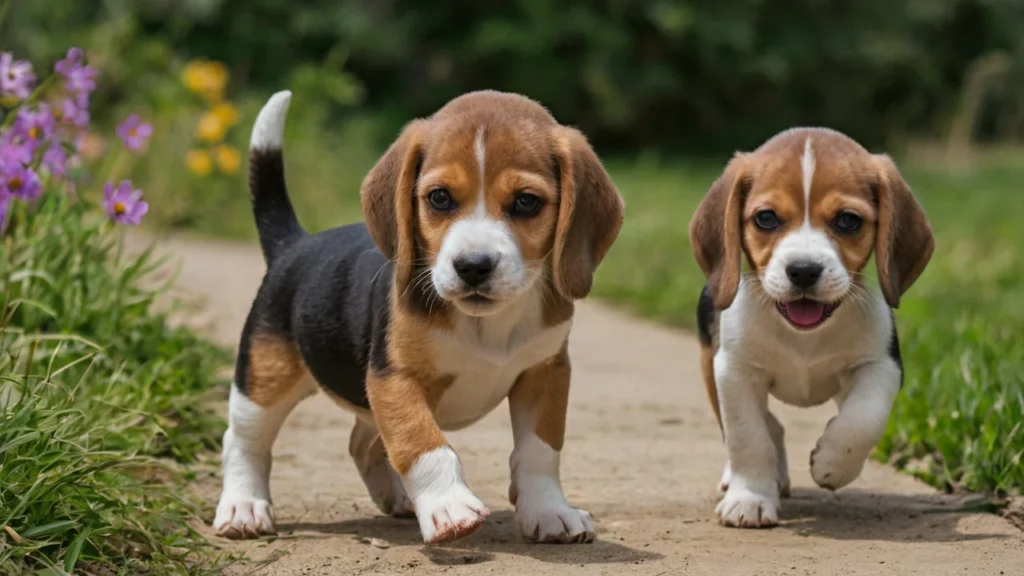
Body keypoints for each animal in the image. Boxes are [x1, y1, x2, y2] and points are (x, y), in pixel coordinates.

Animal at [214, 89, 622, 541]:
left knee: (362, 441)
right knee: (244, 440)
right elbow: (422, 443)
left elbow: (540, 450)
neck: (484, 325)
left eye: (526, 202)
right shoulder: (395, 377)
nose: (473, 266)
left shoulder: (546, 372)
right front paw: (449, 506)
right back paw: (243, 507)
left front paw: (549, 510)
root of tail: (294, 245)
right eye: (439, 197)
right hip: (264, 377)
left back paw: (400, 498)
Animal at [688, 127, 937, 528]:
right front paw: (750, 498)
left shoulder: (881, 365)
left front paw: (832, 464)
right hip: (709, 365)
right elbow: (747, 436)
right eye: (767, 218)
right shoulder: (734, 370)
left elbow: (863, 419)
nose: (803, 270)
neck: (804, 337)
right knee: (761, 427)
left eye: (848, 221)